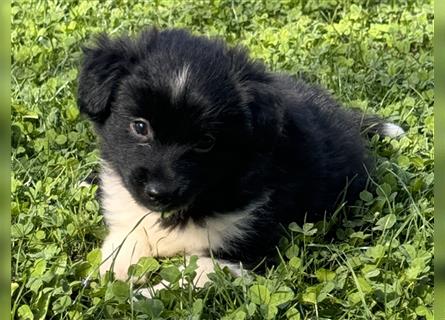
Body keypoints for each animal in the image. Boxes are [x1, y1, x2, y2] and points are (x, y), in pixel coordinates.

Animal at [76, 28, 402, 288]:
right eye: (140, 127)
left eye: (206, 142)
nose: (159, 193)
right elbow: (124, 240)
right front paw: (109, 276)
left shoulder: (246, 250)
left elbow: (190, 274)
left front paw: (142, 296)